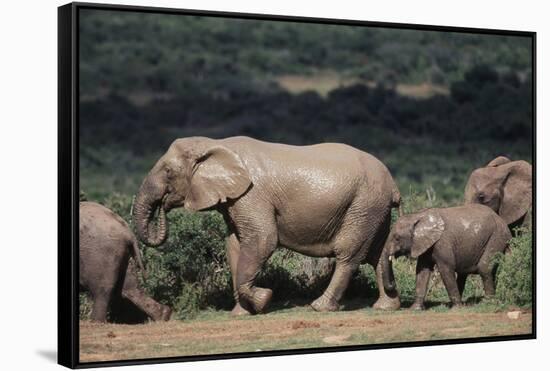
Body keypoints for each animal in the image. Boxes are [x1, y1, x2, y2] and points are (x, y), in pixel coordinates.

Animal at [132, 135, 404, 316]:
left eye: (168, 172)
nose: (163, 205)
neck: (216, 143)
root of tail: (393, 185)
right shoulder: (235, 200)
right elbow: (234, 245)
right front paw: (241, 314)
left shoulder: (252, 195)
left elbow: (262, 239)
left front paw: (264, 299)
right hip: (373, 208)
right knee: (378, 253)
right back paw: (385, 307)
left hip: (363, 204)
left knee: (349, 254)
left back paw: (320, 307)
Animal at [384, 205, 512, 310]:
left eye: (397, 238)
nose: (393, 285)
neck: (418, 216)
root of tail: (501, 219)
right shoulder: (425, 245)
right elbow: (422, 271)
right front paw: (414, 309)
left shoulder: (442, 243)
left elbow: (446, 269)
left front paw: (456, 309)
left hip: (497, 236)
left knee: (484, 268)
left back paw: (486, 303)